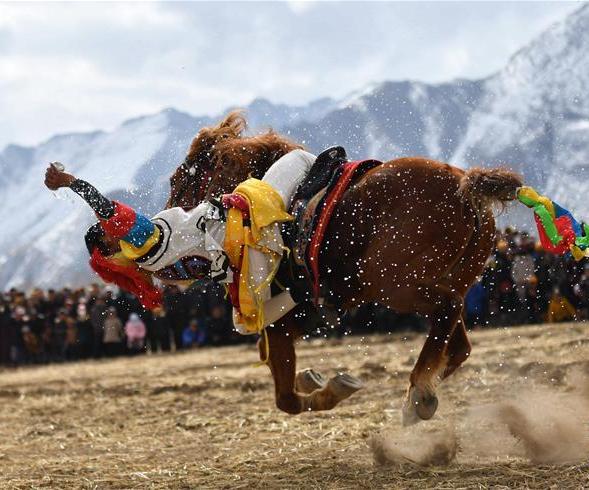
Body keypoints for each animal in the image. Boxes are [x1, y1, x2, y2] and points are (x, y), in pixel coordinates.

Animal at [168, 112, 520, 424]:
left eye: (179, 180)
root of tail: (464, 184)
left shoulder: (281, 320)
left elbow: (286, 398)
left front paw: (328, 389)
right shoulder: (303, 312)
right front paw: (312, 377)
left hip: (393, 284)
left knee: (448, 310)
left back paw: (418, 392)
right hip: (449, 280)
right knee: (458, 343)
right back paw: (422, 395)